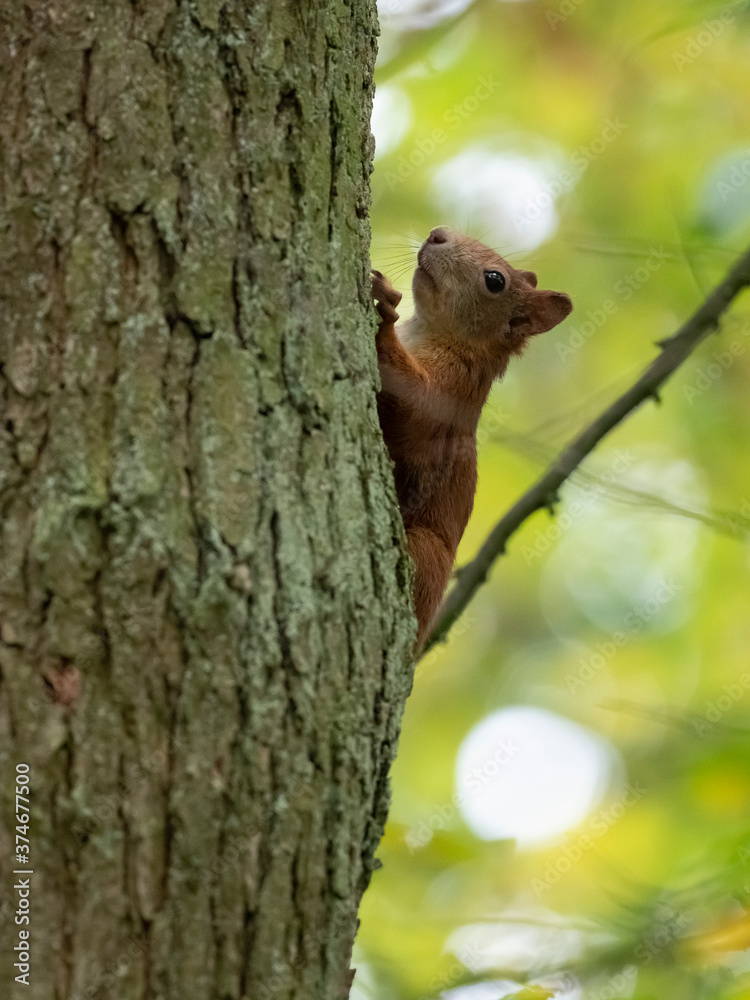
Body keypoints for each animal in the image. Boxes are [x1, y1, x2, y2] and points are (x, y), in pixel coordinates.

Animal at [372, 227, 572, 649]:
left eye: (495, 280)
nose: (437, 233)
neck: (429, 332)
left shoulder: (451, 396)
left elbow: (413, 407)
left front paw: (386, 307)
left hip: (427, 551)